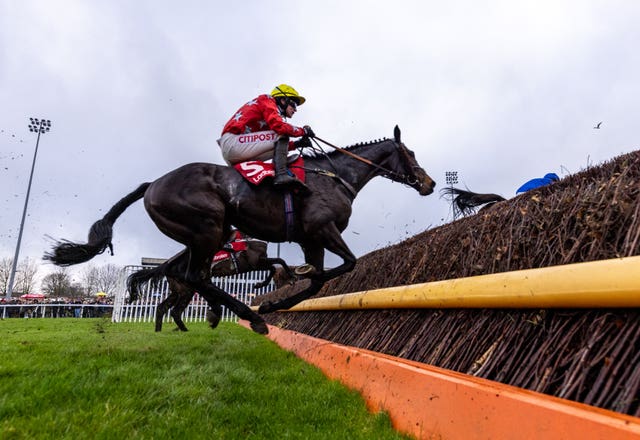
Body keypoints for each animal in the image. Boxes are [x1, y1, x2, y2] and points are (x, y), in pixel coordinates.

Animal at [45, 124, 436, 334]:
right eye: (411, 153)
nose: (430, 183)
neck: (335, 176)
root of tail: (152, 184)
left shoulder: (309, 239)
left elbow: (317, 281)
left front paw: (279, 295)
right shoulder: (322, 229)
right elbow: (342, 267)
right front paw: (272, 301)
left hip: (206, 235)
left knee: (192, 279)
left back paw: (219, 315)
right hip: (206, 227)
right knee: (195, 278)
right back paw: (243, 316)